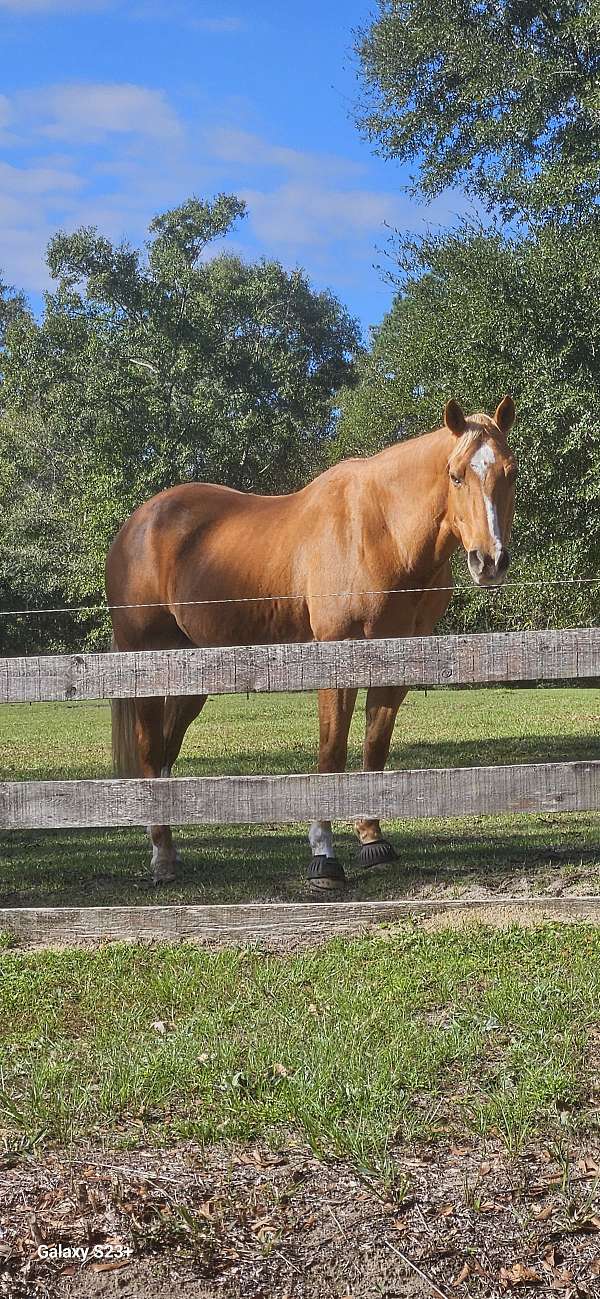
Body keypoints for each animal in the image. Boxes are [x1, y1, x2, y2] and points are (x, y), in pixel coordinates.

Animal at [106, 394, 516, 893]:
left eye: (510, 471)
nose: (490, 561)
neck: (382, 532)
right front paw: (324, 854)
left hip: (191, 673)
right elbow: (331, 753)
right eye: (456, 475)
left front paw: (372, 840)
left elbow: (375, 747)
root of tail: (137, 524)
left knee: (166, 752)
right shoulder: (336, 657)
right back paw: (162, 857)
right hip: (144, 663)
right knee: (150, 752)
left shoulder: (395, 659)